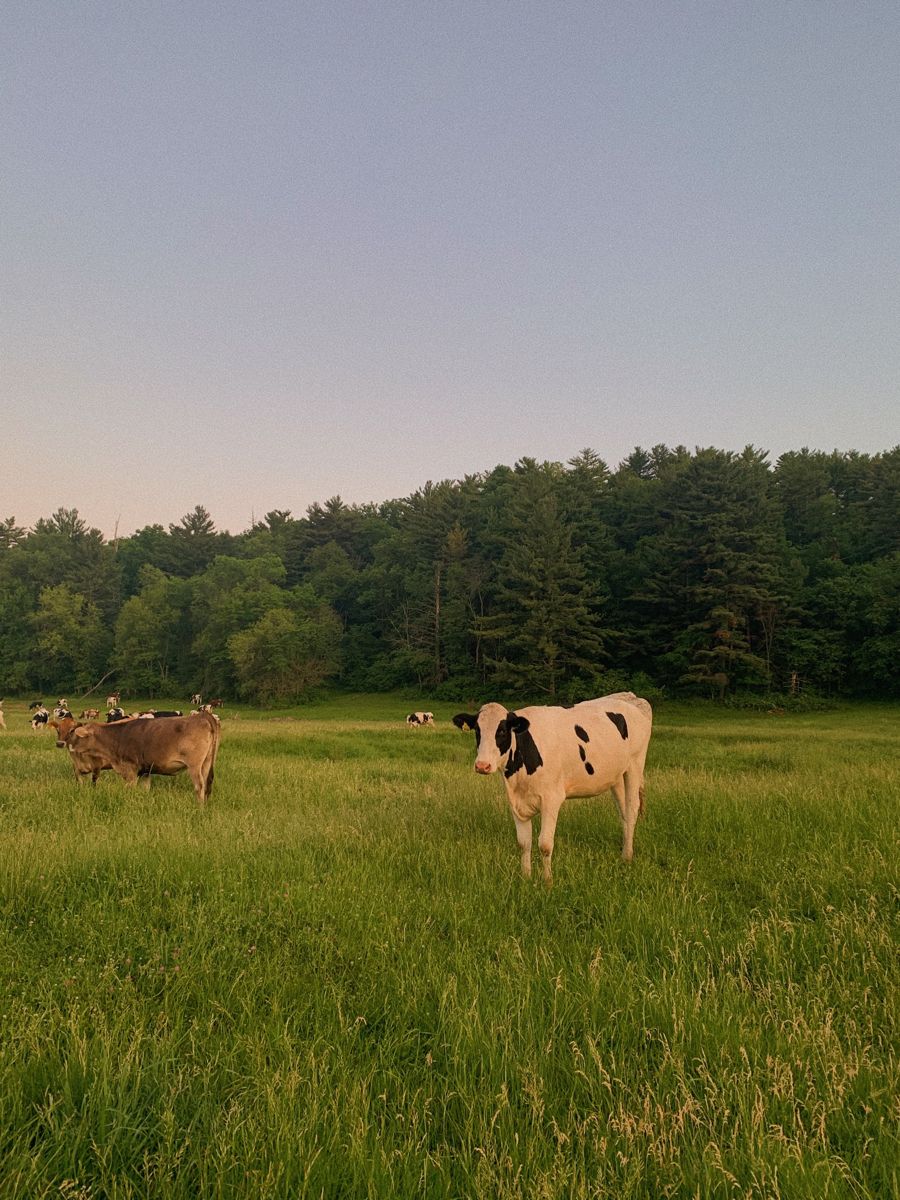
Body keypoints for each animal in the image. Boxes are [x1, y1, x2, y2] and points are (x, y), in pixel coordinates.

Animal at [56, 711, 221, 803]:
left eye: (74, 732)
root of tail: (204, 715)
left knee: (199, 786)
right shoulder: (145, 771)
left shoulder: (130, 769)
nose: (64, 744)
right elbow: (144, 790)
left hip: (194, 766)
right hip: (206, 763)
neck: (117, 737)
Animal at [452, 692, 652, 885]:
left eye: (501, 731)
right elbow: (523, 843)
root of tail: (631, 697)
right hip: (616, 776)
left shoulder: (551, 799)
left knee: (632, 809)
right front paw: (526, 878)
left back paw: (627, 857)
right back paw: (625, 851)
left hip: (635, 765)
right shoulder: (516, 802)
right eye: (477, 730)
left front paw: (548, 881)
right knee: (623, 811)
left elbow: (545, 844)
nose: (482, 765)